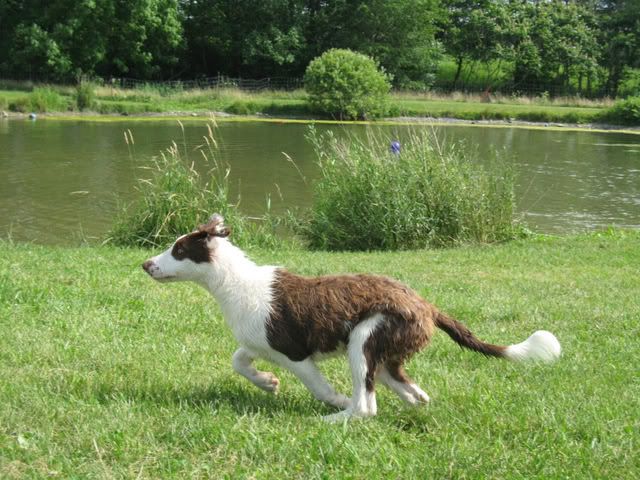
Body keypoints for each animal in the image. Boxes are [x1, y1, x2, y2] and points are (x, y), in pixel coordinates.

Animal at [141, 214, 560, 420]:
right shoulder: (258, 342)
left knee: (366, 408)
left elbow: (319, 387)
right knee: (411, 393)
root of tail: (427, 306)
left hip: (365, 339)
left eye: (178, 250)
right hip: (387, 357)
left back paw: (333, 419)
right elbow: (238, 361)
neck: (234, 283)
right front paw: (267, 382)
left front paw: (331, 399)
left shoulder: (295, 352)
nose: (145, 264)